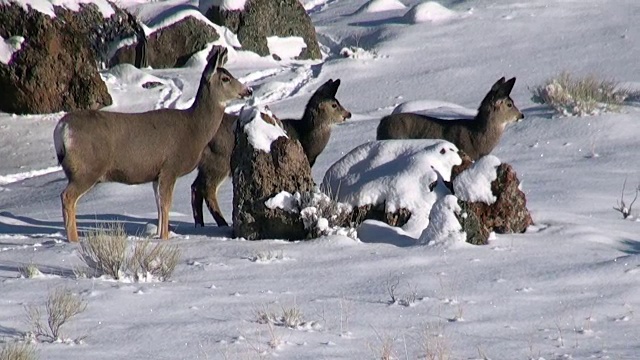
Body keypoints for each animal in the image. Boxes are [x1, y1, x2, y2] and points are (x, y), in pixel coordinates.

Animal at [53, 45, 252, 242]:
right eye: (226, 78)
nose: (248, 91)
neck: (193, 129)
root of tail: (61, 129)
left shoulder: (156, 175)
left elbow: (158, 206)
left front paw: (158, 235)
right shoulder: (170, 167)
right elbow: (166, 204)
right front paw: (165, 237)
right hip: (87, 169)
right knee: (67, 196)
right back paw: (74, 240)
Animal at [190, 78, 352, 228]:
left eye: (338, 102)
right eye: (334, 105)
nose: (348, 114)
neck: (305, 138)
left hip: (207, 164)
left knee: (195, 187)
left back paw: (200, 224)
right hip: (219, 160)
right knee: (208, 190)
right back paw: (222, 223)